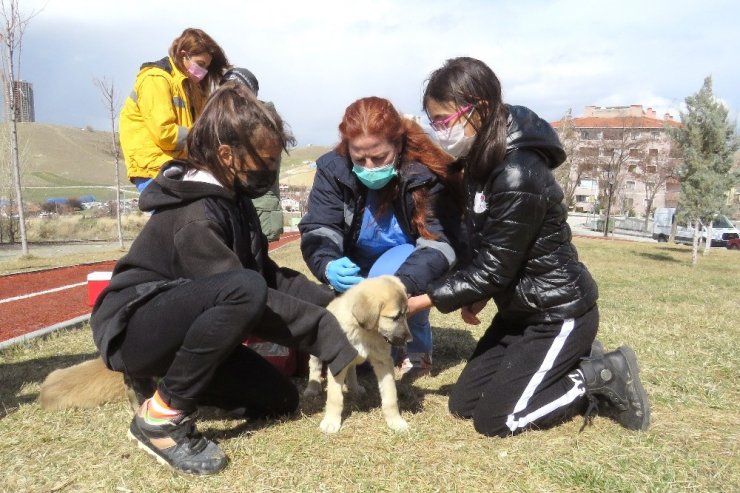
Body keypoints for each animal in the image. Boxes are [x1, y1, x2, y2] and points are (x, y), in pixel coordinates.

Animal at [304, 274, 414, 432]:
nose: (410, 340)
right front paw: (331, 421)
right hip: (318, 355)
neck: (363, 332)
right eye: (394, 317)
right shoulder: (338, 360)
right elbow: (334, 397)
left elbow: (390, 396)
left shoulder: (383, 361)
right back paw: (312, 388)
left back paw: (354, 388)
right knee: (315, 367)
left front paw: (395, 421)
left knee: (351, 370)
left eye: (405, 314)